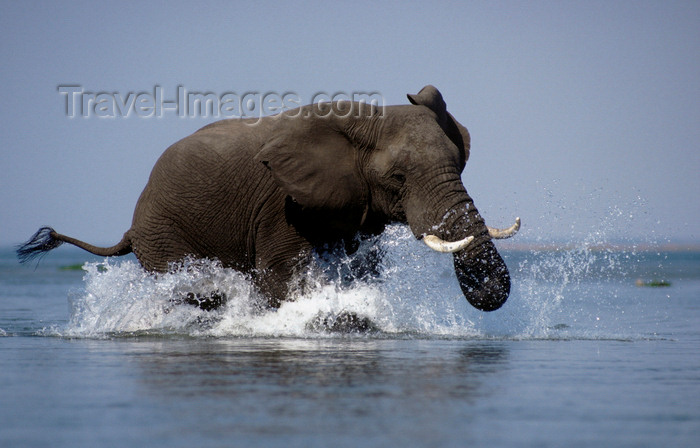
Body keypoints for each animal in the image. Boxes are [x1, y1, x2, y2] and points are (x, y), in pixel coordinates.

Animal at [17, 85, 520, 312]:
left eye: (460, 164)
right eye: (397, 177)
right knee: (192, 291)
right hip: (161, 233)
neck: (365, 119)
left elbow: (362, 270)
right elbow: (282, 275)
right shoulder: (281, 205)